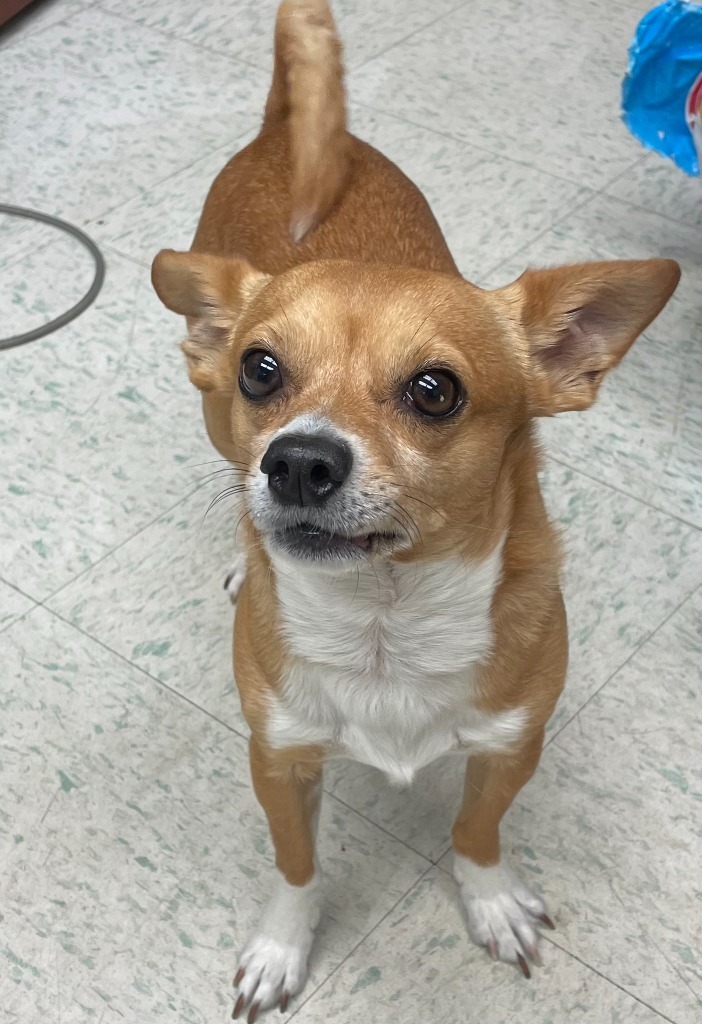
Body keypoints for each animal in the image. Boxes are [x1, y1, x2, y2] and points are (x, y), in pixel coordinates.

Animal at [149, 0, 683, 1015]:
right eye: (261, 369)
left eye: (435, 391)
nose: (296, 462)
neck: (384, 626)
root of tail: (286, 134)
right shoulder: (279, 760)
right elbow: (297, 868)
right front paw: (282, 946)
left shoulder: (510, 748)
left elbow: (475, 834)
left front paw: (492, 900)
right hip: (211, 427)